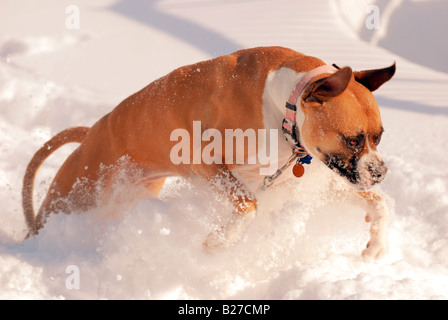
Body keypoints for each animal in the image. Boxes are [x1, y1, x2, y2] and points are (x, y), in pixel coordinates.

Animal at [23, 47, 396, 260]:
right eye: (353, 140)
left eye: (378, 137)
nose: (380, 172)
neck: (283, 101)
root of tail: (90, 135)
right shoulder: (205, 164)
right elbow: (249, 207)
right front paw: (218, 243)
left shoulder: (292, 181)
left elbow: (379, 204)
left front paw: (376, 246)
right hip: (74, 197)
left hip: (122, 198)